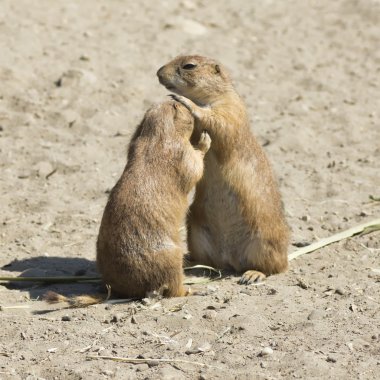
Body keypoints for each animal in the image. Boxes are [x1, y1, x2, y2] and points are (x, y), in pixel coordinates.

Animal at [156, 55, 290, 284]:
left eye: (189, 66)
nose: (158, 73)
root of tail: (231, 260)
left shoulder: (231, 108)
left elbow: (218, 121)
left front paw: (183, 101)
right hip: (196, 233)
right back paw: (188, 260)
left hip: (264, 240)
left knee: (276, 267)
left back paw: (252, 274)